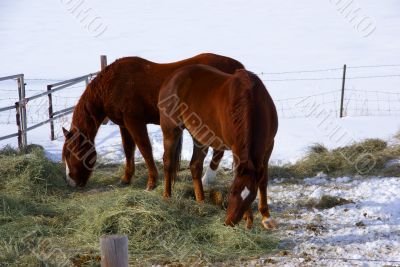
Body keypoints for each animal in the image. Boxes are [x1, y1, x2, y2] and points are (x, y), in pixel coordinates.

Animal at [61, 53, 242, 189]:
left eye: (69, 154)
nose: (70, 182)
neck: (114, 84)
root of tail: (237, 67)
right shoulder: (123, 124)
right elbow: (128, 150)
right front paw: (126, 178)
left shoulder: (134, 122)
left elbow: (145, 149)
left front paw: (152, 182)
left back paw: (206, 180)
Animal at [159, 64, 278, 228]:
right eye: (232, 191)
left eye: (251, 196)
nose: (229, 222)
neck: (251, 100)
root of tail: (173, 76)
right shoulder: (236, 149)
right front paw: (249, 218)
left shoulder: (269, 146)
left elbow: (263, 180)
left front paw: (266, 217)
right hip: (171, 131)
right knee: (168, 162)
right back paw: (167, 197)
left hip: (200, 137)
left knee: (195, 165)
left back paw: (201, 201)